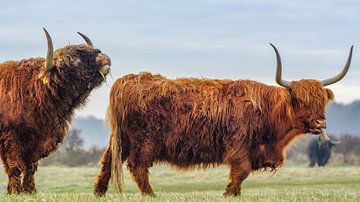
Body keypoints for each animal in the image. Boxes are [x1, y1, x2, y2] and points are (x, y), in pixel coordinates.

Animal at [0, 28, 111, 194]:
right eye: (75, 60)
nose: (103, 58)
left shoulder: (38, 139)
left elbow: (30, 167)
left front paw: (30, 190)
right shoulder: (11, 138)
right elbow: (15, 167)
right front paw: (15, 191)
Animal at [93, 43, 352, 196]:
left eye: (322, 101)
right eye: (299, 100)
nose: (320, 123)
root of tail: (126, 80)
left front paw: (234, 194)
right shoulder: (239, 146)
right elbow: (241, 172)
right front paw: (228, 193)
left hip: (121, 138)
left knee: (108, 159)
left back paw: (99, 192)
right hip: (144, 140)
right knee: (138, 166)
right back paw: (151, 195)